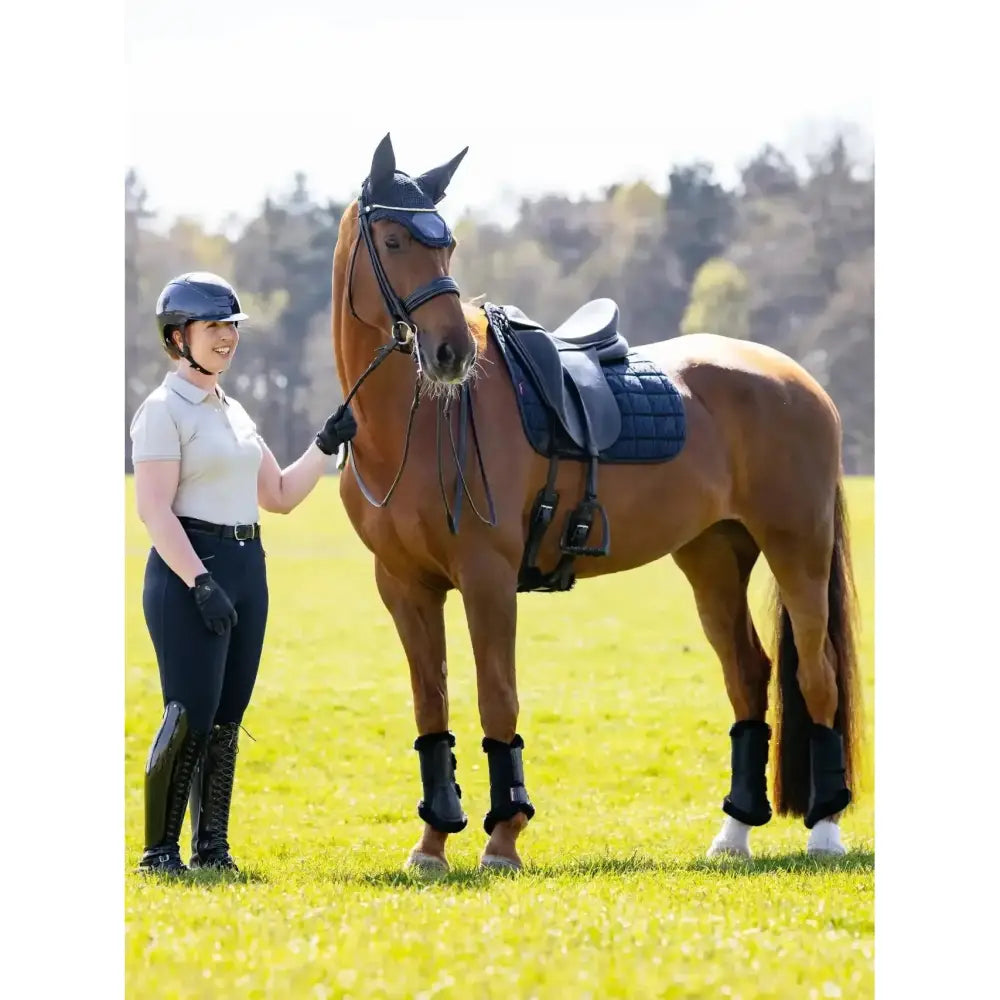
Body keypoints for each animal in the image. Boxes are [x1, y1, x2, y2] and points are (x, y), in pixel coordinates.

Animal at [330, 133, 862, 872]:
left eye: (448, 244)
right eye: (392, 238)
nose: (450, 352)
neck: (417, 420)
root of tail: (799, 379)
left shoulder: (487, 578)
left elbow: (498, 700)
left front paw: (503, 837)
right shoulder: (404, 585)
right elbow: (430, 707)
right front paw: (433, 842)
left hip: (798, 552)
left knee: (817, 677)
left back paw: (825, 830)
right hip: (713, 558)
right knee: (749, 676)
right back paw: (734, 832)